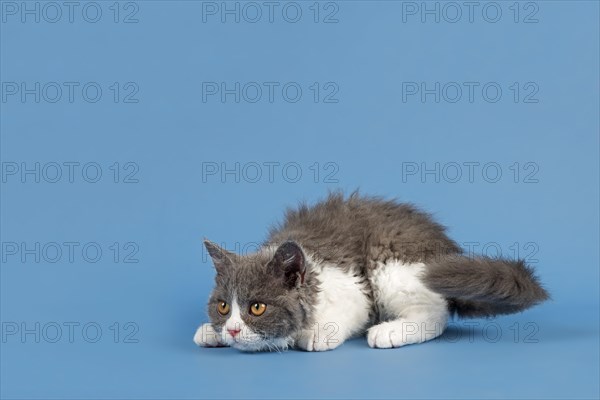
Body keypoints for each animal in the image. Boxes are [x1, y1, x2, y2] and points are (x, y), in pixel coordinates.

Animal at [193, 192, 548, 352]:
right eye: (222, 306)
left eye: (257, 307)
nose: (233, 330)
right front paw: (210, 332)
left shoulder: (352, 286)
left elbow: (353, 311)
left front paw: (315, 334)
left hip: (391, 264)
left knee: (436, 314)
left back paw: (390, 331)